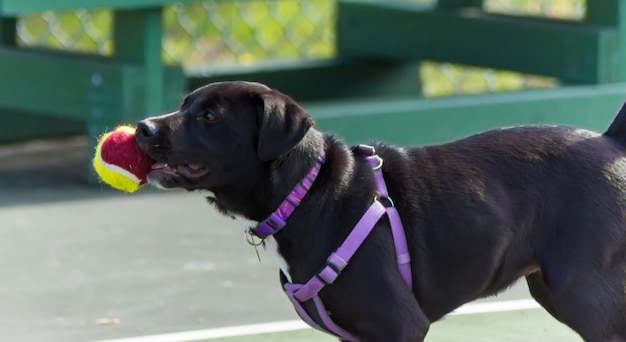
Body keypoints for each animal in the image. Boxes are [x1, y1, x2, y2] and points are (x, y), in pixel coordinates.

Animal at [134, 81, 624, 340]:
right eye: (184, 105)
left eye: (211, 117)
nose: (142, 127)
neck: (306, 193)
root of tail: (610, 143)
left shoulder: (400, 324)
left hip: (583, 292)